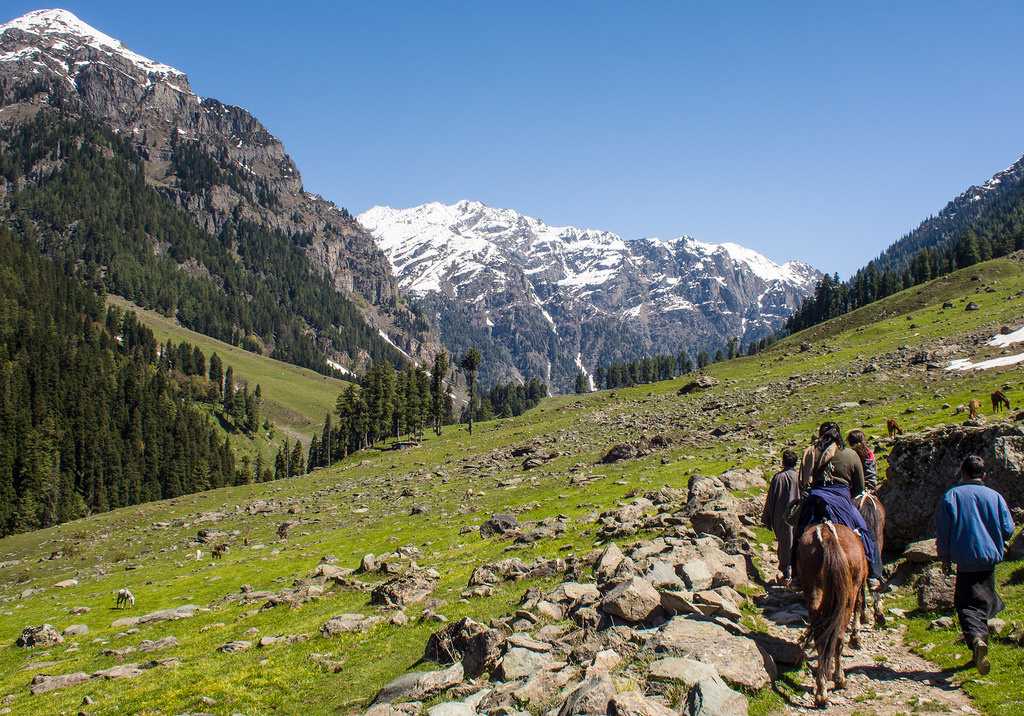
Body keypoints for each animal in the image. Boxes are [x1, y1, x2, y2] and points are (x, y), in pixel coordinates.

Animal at [794, 520, 868, 712]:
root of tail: (827, 535)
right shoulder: (859, 588)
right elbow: (859, 607)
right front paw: (856, 638)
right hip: (848, 595)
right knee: (838, 637)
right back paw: (839, 679)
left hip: (813, 591)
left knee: (821, 637)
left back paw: (821, 691)